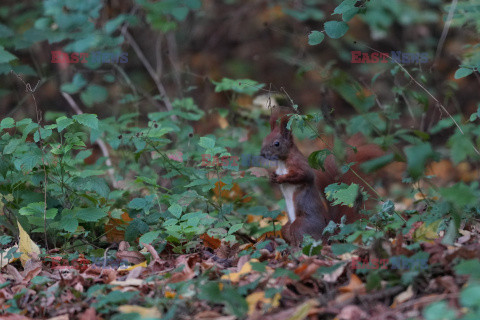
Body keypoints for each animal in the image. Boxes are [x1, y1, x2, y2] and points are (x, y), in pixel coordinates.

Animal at [260, 111, 384, 244]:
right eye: (264, 139)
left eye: (276, 144)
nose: (262, 153)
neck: (282, 163)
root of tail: (329, 234)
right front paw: (272, 176)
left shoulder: (301, 165)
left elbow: (304, 176)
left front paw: (281, 179)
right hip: (287, 228)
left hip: (300, 225)